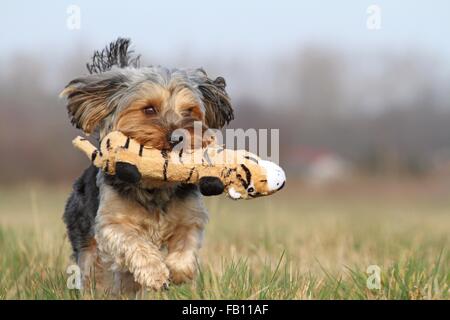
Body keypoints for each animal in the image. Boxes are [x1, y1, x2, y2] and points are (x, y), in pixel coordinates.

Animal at [61, 38, 234, 296]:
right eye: (149, 109)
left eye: (189, 111)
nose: (178, 137)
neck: (156, 186)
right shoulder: (111, 222)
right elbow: (134, 243)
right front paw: (155, 273)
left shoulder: (191, 218)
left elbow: (186, 246)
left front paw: (177, 272)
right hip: (83, 234)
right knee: (95, 271)